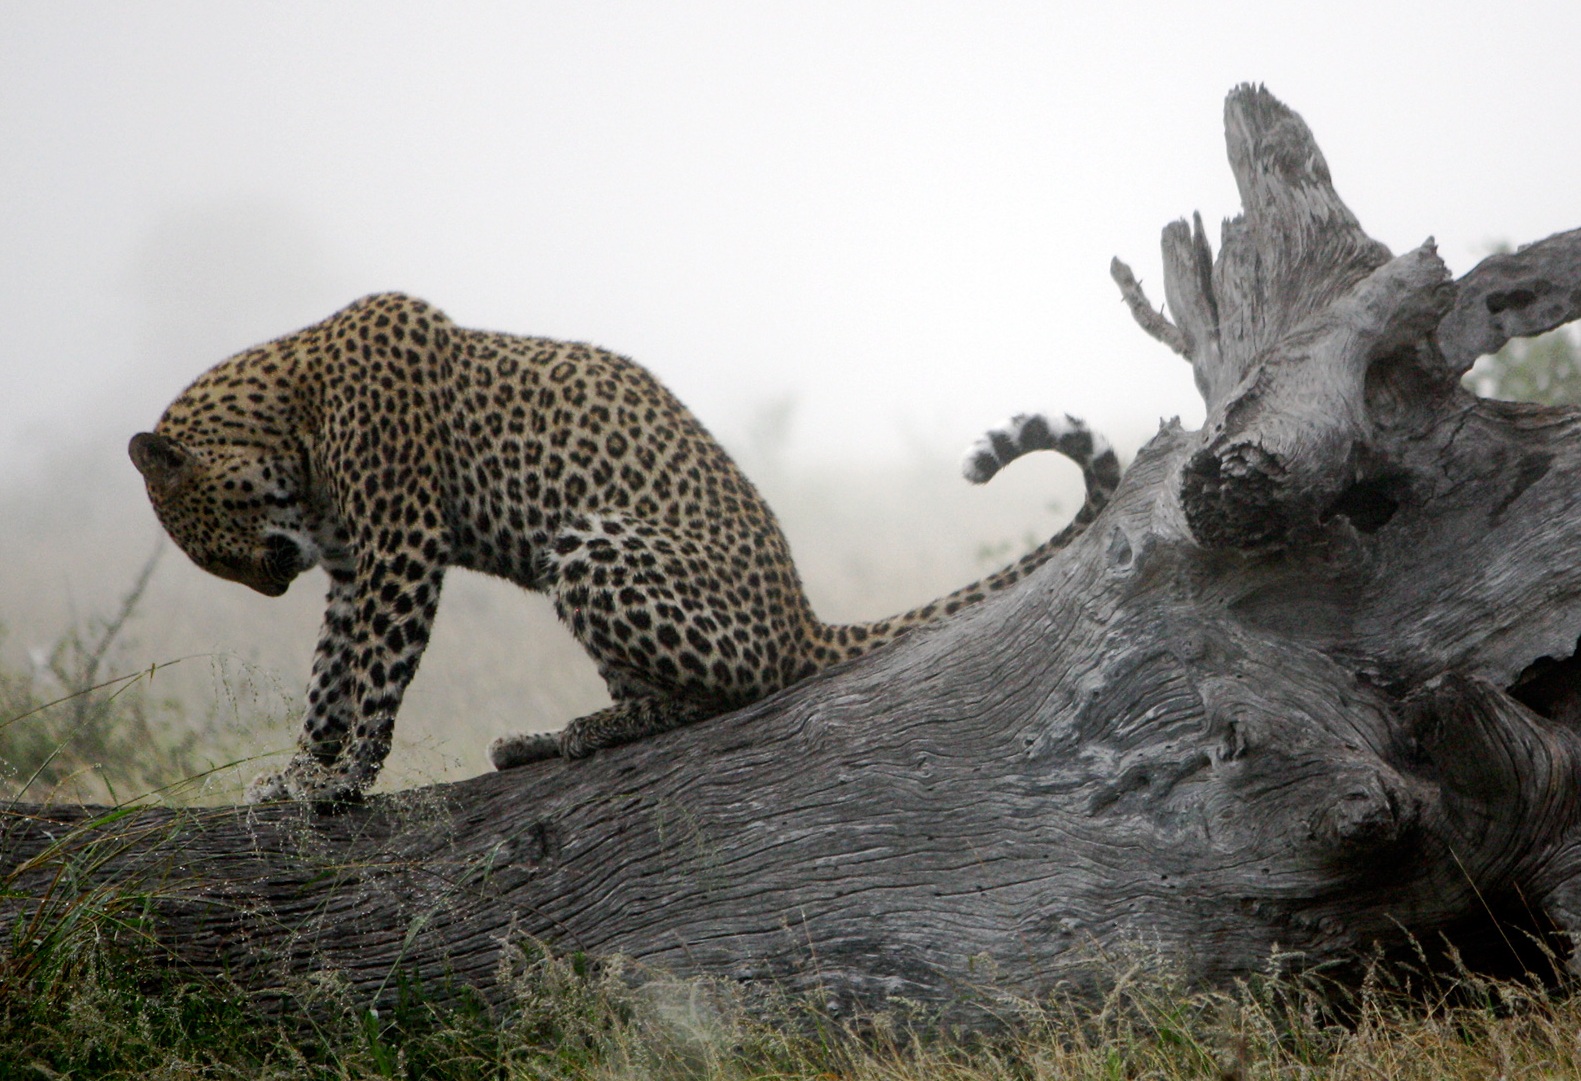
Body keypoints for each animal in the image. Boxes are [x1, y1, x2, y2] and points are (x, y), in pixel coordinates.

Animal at [129, 292, 1121, 803]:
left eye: (210, 550)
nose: (269, 587)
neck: (287, 408)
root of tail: (804, 617)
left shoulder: (400, 545)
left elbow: (374, 675)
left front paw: (338, 786)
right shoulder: (347, 565)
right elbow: (329, 677)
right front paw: (299, 771)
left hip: (590, 543)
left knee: (733, 692)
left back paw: (585, 730)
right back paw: (540, 739)